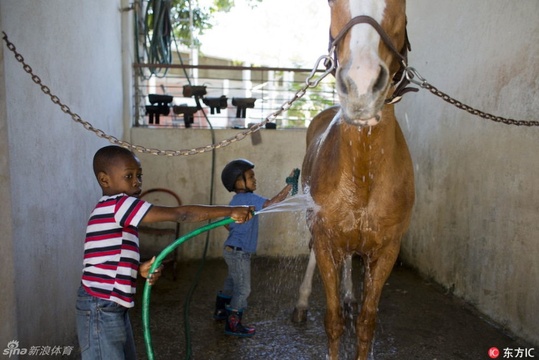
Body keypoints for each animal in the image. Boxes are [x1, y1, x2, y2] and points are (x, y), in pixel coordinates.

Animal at [296, 0, 414, 360]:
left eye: (403, 4)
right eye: (332, 3)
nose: (362, 86)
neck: (363, 174)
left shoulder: (387, 250)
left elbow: (365, 324)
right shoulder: (324, 238)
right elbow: (334, 321)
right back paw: (301, 304)